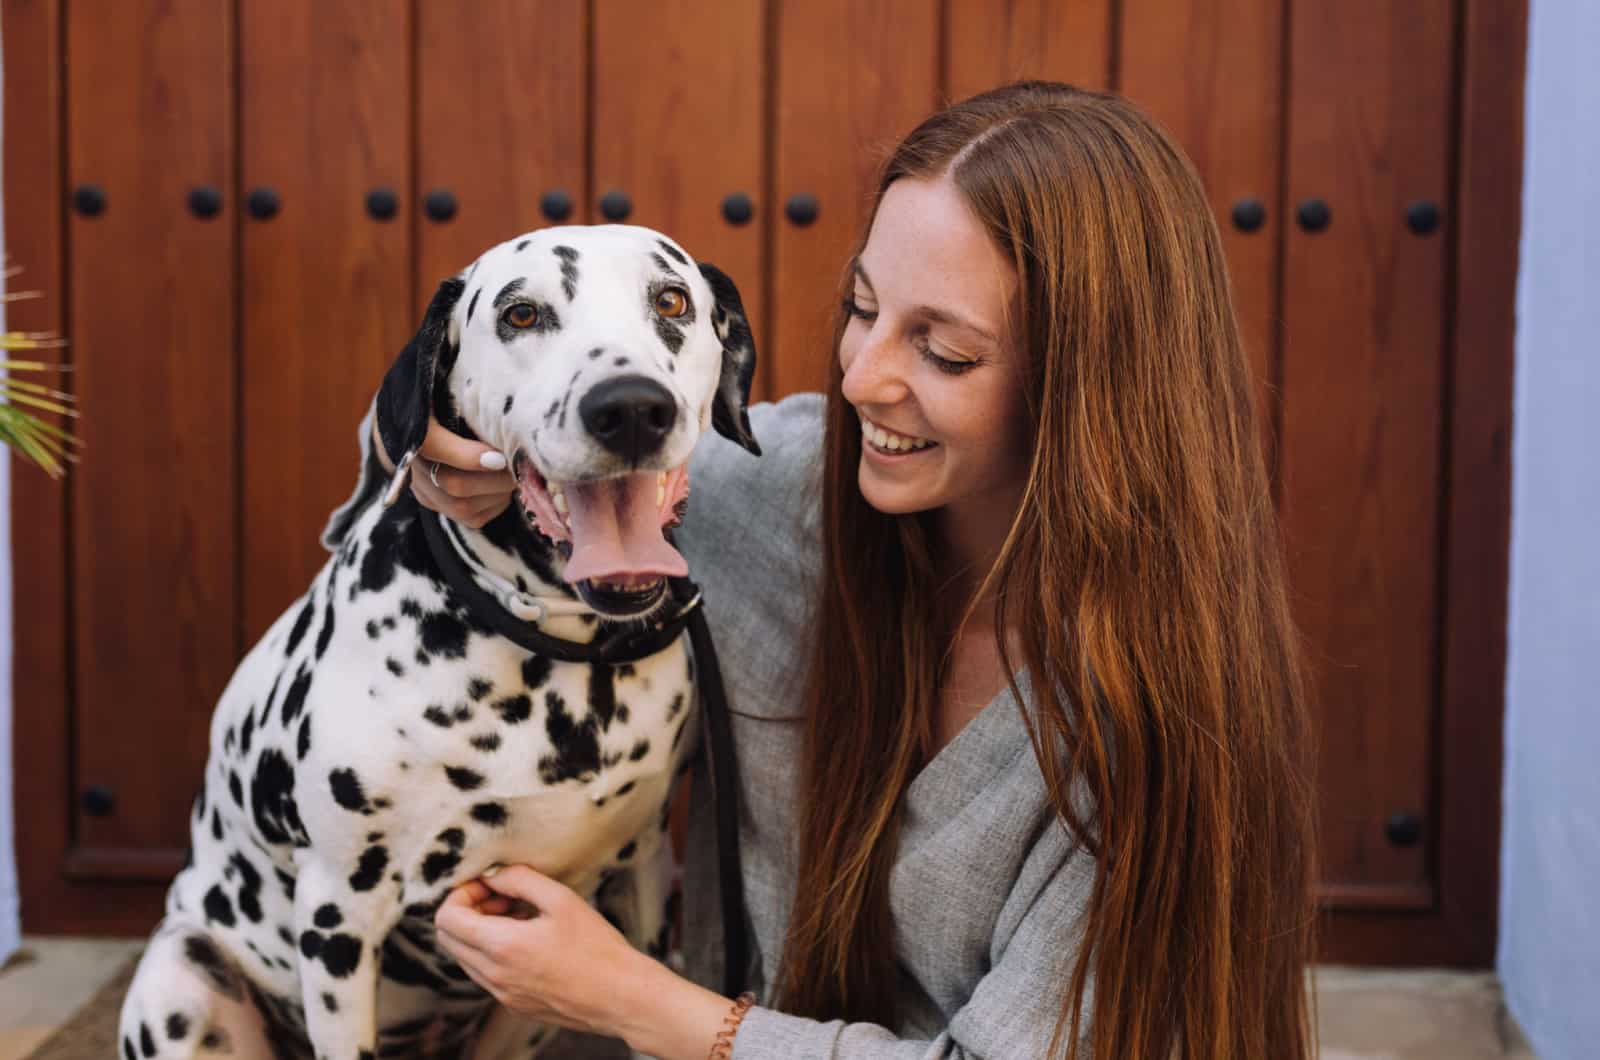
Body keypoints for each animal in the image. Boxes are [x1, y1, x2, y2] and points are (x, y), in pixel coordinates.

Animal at [121, 225, 758, 1060]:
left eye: (673, 300)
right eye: (521, 314)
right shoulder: (338, 917)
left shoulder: (647, 875)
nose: (628, 408)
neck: (552, 655)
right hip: (184, 978)